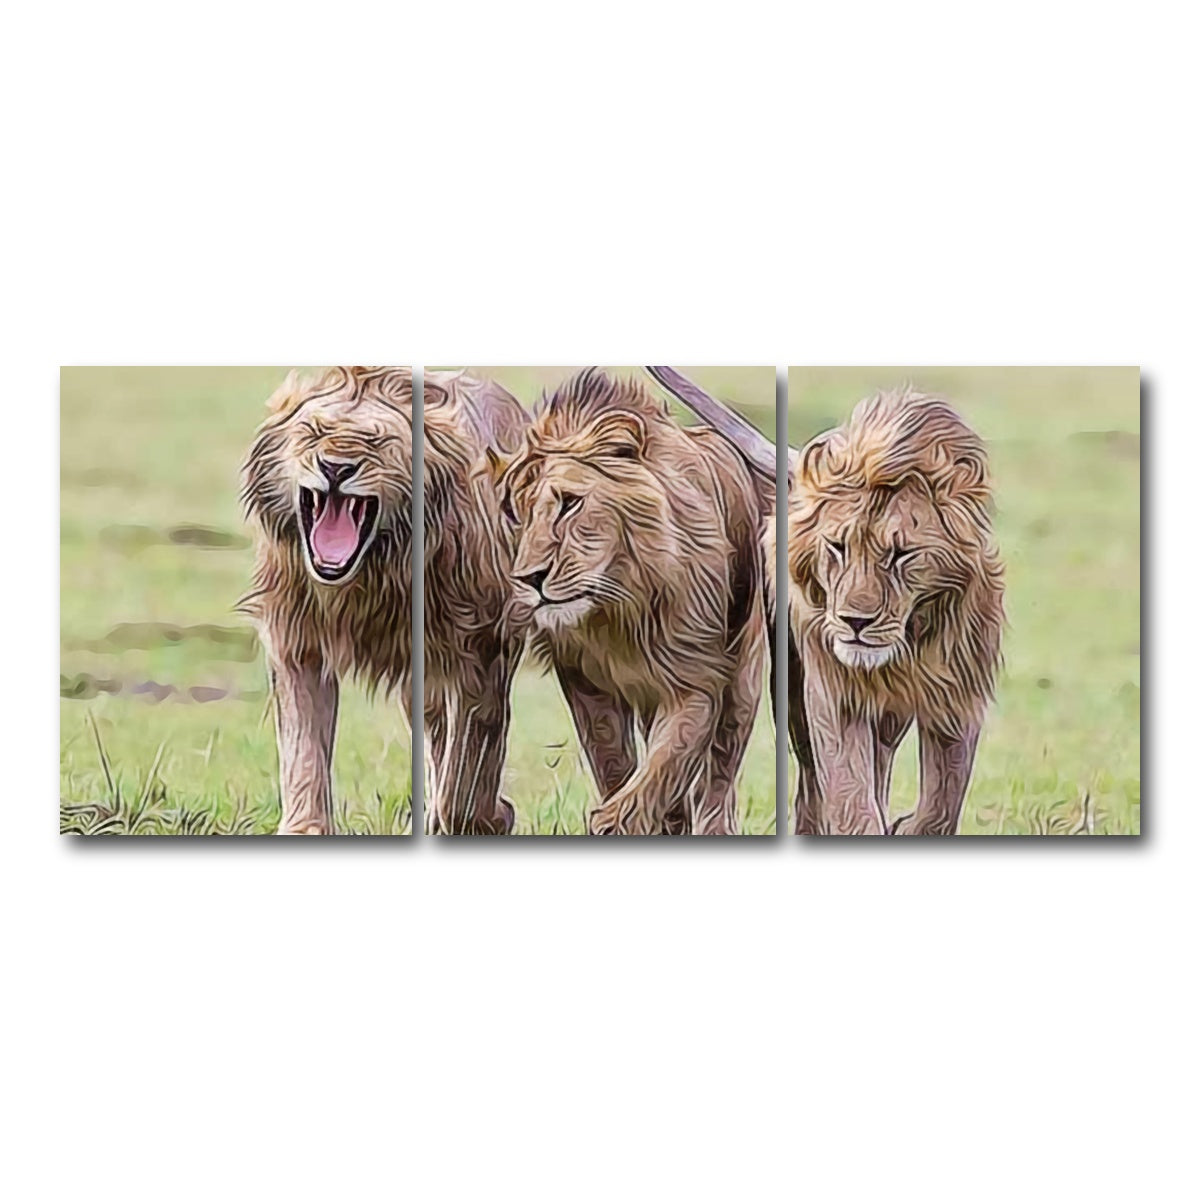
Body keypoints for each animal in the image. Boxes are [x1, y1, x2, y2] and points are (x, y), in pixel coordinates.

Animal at [240, 365, 525, 834]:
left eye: (376, 442)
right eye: (315, 432)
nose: (335, 467)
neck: (368, 577)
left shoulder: (482, 651)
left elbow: (469, 769)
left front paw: (488, 818)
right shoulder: (297, 643)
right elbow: (303, 751)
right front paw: (304, 828)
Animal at [493, 368, 768, 835]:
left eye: (569, 503)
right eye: (518, 514)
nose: (529, 578)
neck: (618, 606)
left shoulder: (698, 677)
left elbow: (664, 765)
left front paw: (615, 820)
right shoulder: (584, 681)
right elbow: (616, 765)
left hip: (743, 681)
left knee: (718, 779)